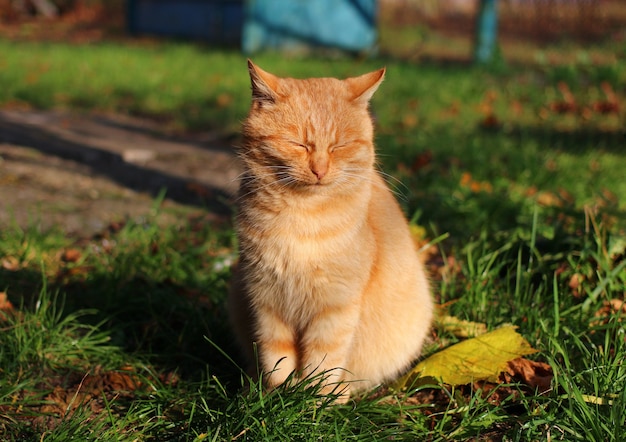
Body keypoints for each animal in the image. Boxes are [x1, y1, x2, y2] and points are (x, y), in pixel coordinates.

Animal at [227, 60, 432, 402]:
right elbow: (276, 358)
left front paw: (313, 403)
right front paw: (276, 397)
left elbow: (323, 361)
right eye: (297, 144)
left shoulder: (335, 308)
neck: (302, 217)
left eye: (339, 147)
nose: (319, 170)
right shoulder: (267, 300)